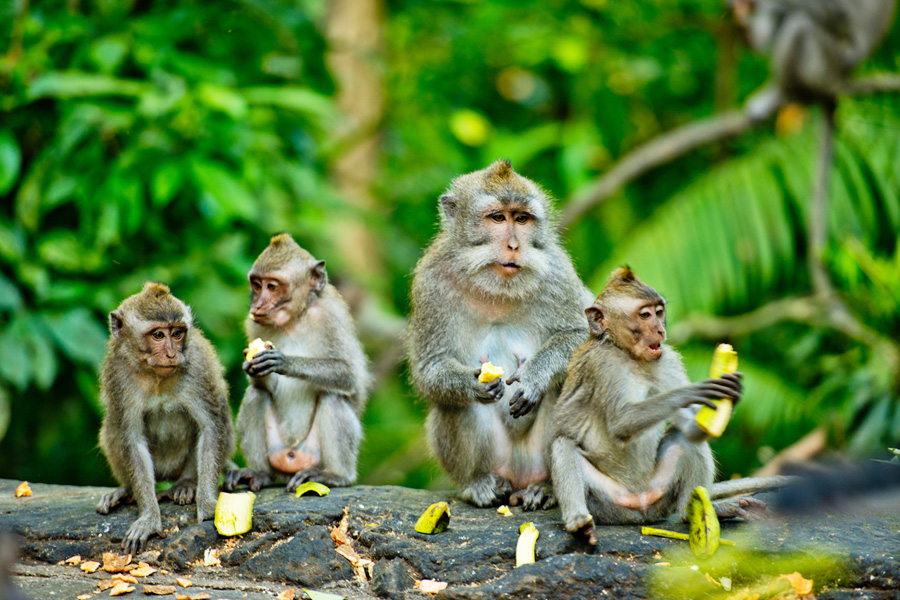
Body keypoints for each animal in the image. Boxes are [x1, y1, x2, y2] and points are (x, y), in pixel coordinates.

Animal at [96, 282, 235, 554]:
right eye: (158, 335)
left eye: (177, 333)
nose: (172, 354)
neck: (154, 374)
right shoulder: (118, 374)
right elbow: (132, 440)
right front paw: (149, 518)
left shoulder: (197, 366)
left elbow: (211, 427)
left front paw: (207, 505)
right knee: (112, 427)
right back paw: (125, 490)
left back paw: (186, 484)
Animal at [224, 233, 369, 493]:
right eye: (257, 285)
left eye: (272, 286)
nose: (257, 305)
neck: (295, 319)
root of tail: (292, 456)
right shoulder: (254, 325)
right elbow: (260, 385)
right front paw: (252, 368)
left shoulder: (332, 316)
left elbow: (348, 375)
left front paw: (284, 361)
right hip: (277, 452)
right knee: (255, 395)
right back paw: (261, 474)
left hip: (313, 453)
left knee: (333, 396)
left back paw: (336, 475)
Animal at [406, 159, 594, 510]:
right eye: (497, 218)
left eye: (521, 219)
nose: (514, 246)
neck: (496, 289)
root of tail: (519, 477)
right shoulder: (430, 281)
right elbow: (430, 368)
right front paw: (471, 383)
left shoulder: (558, 272)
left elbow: (582, 337)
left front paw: (534, 376)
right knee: (453, 403)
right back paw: (477, 484)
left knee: (565, 385)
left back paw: (548, 487)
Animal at [550, 267, 793, 544]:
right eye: (644, 315)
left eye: (659, 312)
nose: (659, 331)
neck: (627, 355)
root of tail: (640, 506)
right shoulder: (601, 365)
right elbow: (621, 422)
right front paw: (691, 392)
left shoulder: (666, 360)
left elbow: (691, 430)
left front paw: (732, 394)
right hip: (607, 502)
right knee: (564, 444)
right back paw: (579, 522)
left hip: (660, 492)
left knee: (683, 440)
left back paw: (697, 510)